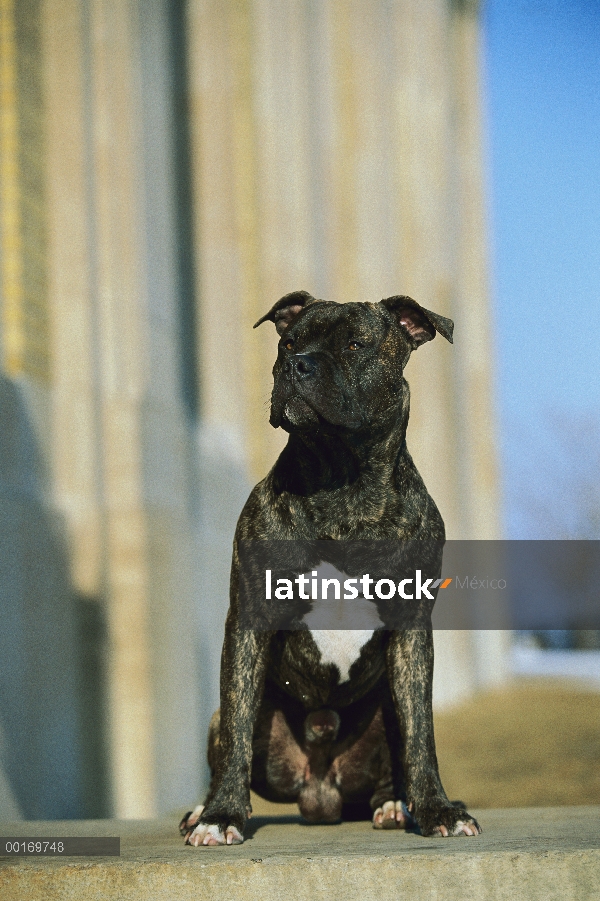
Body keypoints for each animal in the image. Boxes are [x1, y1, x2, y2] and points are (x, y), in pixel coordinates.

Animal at [180, 294, 480, 844]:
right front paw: (221, 815)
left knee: (394, 760)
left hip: (382, 719)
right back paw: (201, 808)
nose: (295, 365)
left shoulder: (413, 628)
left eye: (356, 344)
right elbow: (236, 727)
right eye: (288, 342)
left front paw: (437, 809)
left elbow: (421, 735)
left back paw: (396, 805)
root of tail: (319, 791)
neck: (343, 485)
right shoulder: (249, 618)